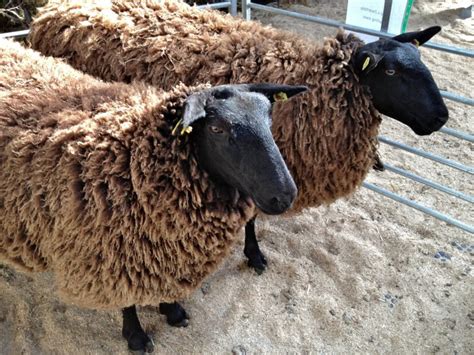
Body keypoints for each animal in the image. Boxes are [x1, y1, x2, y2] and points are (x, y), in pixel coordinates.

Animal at [0, 39, 308, 354]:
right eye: (217, 129)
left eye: (269, 119)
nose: (284, 195)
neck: (132, 159)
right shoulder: (112, 253)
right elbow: (127, 301)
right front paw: (136, 336)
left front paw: (172, 311)